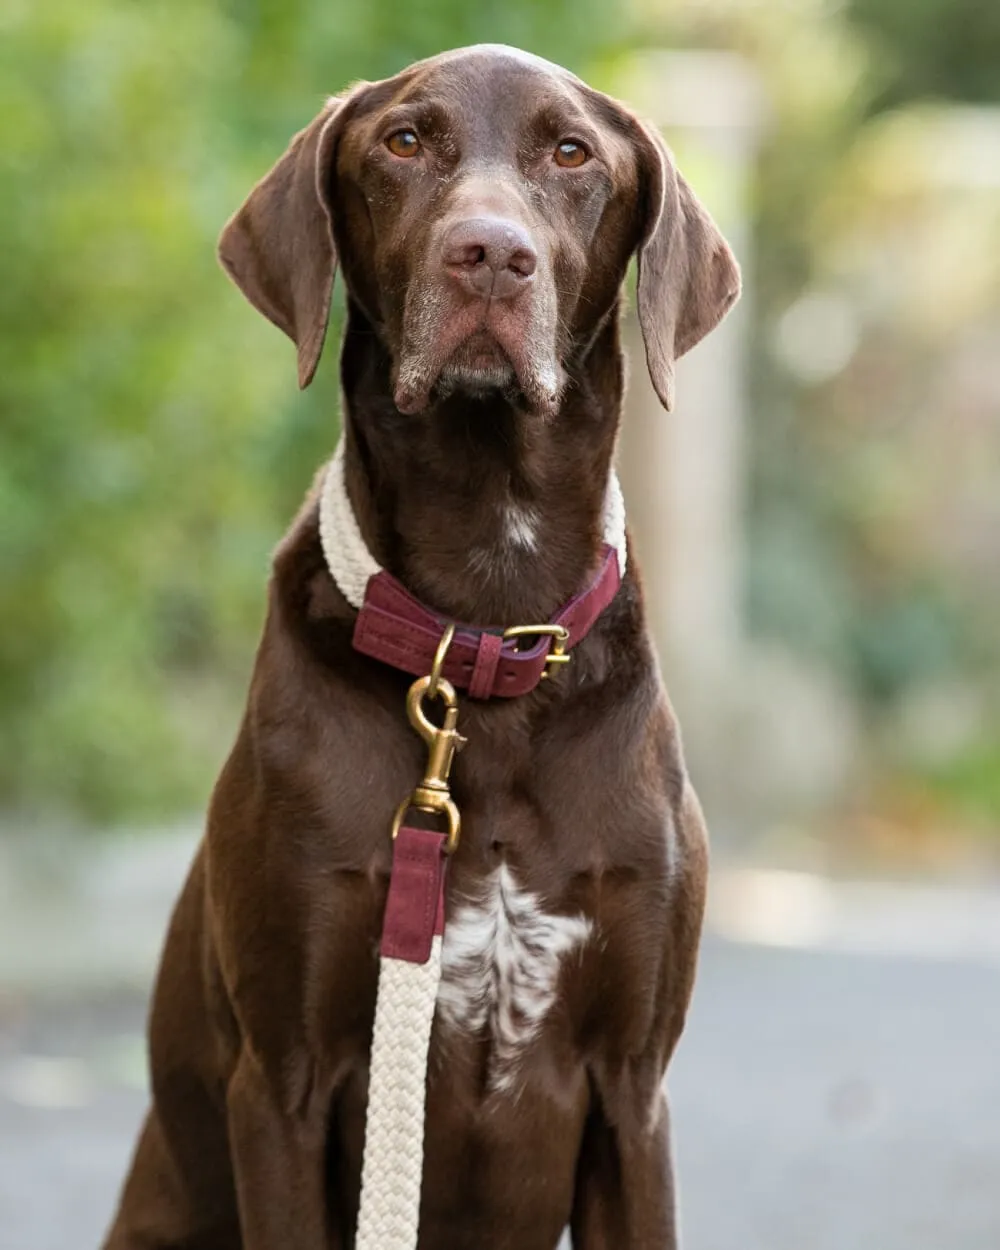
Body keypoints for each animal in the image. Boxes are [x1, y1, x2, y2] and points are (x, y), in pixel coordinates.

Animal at [105, 41, 740, 1250]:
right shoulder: (284, 1085)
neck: (484, 628)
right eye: (404, 141)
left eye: (571, 152)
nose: (490, 254)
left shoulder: (634, 1092)